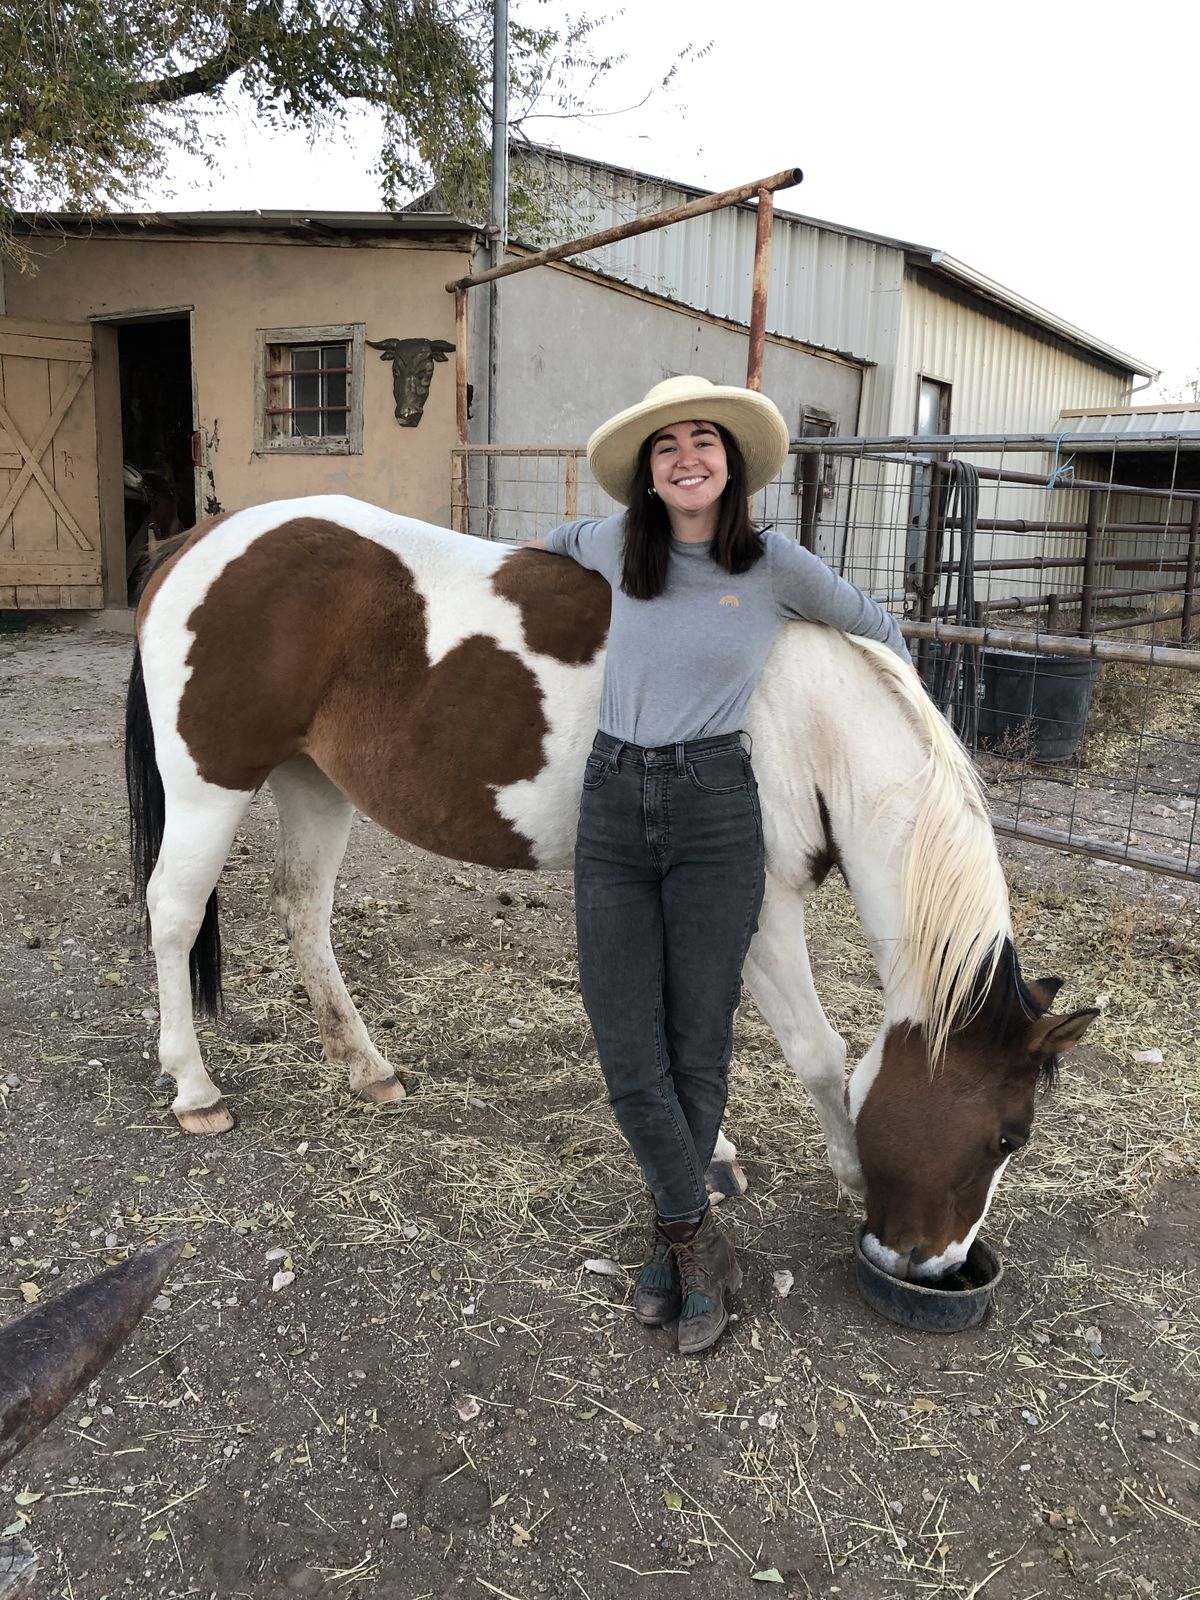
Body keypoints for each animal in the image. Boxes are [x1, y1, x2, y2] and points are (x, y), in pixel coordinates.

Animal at [125, 494, 1098, 1282]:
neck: (812, 716)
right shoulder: (760, 910)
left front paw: (713, 1154)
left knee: (304, 912)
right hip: (211, 786)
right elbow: (816, 1050)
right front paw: (842, 1168)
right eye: (1006, 1135)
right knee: (173, 915)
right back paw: (195, 1090)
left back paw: (366, 1068)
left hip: (314, 783)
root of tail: (199, 538)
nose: (932, 1264)